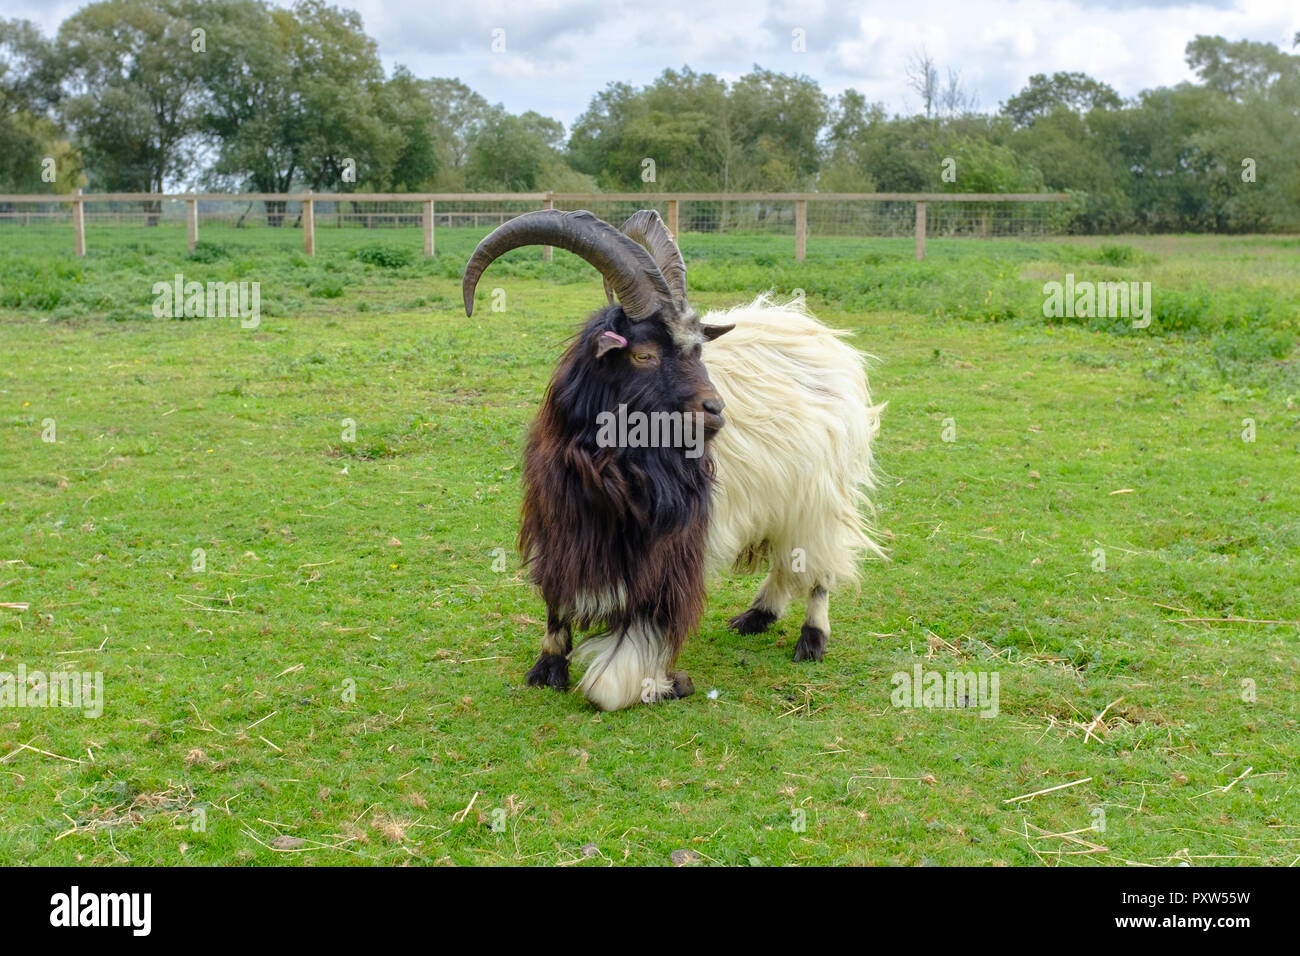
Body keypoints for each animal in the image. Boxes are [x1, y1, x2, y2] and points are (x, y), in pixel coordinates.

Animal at [460, 208, 883, 712]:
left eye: (698, 350)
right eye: (643, 354)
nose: (716, 409)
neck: (616, 468)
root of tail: (824, 337)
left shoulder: (670, 556)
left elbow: (612, 682)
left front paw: (665, 683)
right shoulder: (563, 526)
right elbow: (557, 604)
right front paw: (548, 666)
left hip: (822, 492)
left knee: (819, 563)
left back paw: (812, 638)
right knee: (788, 557)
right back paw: (757, 616)